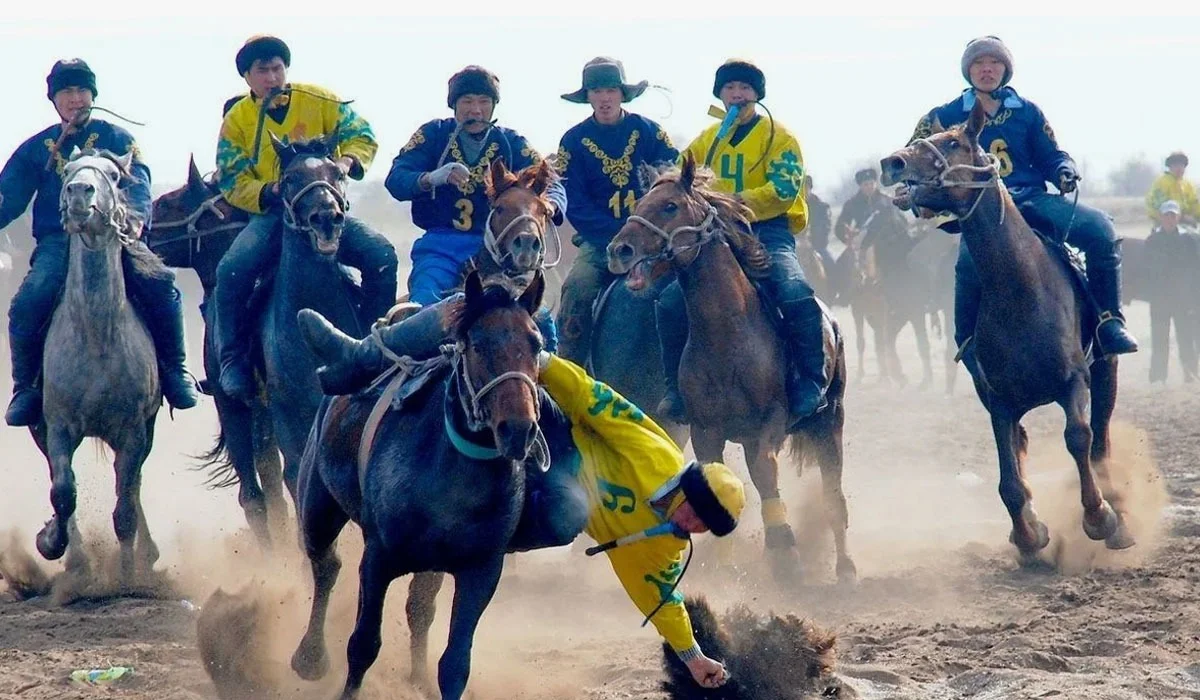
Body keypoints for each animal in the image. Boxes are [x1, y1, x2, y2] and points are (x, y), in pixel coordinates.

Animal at [32, 149, 166, 585]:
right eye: (69, 172)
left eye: (113, 174)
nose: (79, 192)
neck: (95, 334)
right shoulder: (58, 426)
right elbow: (63, 492)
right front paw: (51, 542)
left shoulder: (133, 431)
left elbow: (125, 507)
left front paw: (127, 577)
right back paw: (76, 558)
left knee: (133, 486)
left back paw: (147, 554)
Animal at [290, 270, 552, 700]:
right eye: (478, 344)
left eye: (537, 344)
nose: (518, 429)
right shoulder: (378, 558)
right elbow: (363, 644)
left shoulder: (481, 570)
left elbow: (455, 663)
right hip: (317, 503)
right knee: (326, 564)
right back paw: (310, 657)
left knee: (418, 608)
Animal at [609, 154, 854, 585]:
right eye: (639, 204)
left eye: (670, 206)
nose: (619, 249)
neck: (728, 334)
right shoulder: (705, 430)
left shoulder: (770, 423)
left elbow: (766, 473)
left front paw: (783, 548)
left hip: (831, 423)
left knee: (832, 496)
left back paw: (845, 567)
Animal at [883, 98, 1132, 564]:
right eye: (922, 136)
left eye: (954, 142)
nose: (893, 162)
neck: (1022, 290)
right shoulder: (998, 401)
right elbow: (1008, 480)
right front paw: (1029, 534)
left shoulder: (1074, 381)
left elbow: (1079, 437)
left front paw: (1099, 516)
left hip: (1106, 370)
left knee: (1101, 440)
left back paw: (1120, 519)